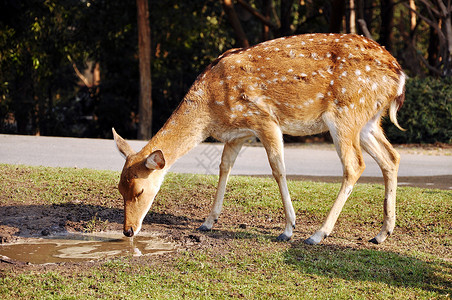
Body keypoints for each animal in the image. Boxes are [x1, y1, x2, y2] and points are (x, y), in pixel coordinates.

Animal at [114, 32, 406, 245]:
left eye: (139, 191)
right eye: (119, 189)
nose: (128, 230)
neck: (210, 111)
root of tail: (399, 76)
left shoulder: (264, 119)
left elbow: (278, 168)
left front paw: (288, 228)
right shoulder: (237, 135)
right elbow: (224, 167)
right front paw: (208, 221)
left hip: (346, 113)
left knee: (355, 165)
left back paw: (318, 234)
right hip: (368, 121)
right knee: (391, 157)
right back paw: (382, 233)